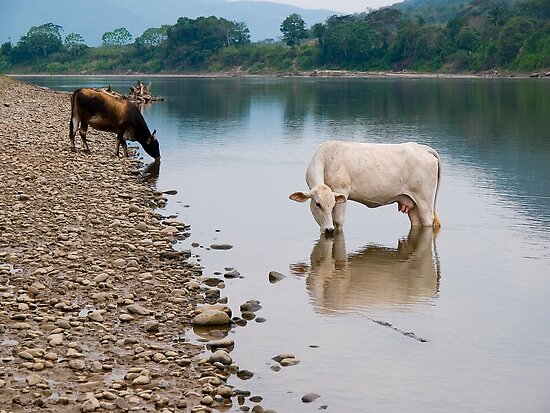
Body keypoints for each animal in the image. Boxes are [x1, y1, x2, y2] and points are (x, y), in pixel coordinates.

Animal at [292, 141, 442, 232]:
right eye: (318, 204)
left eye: (332, 204)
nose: (329, 230)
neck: (326, 158)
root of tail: (423, 148)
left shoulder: (342, 191)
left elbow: (338, 221)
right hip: (412, 203)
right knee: (417, 222)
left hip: (424, 200)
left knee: (428, 220)